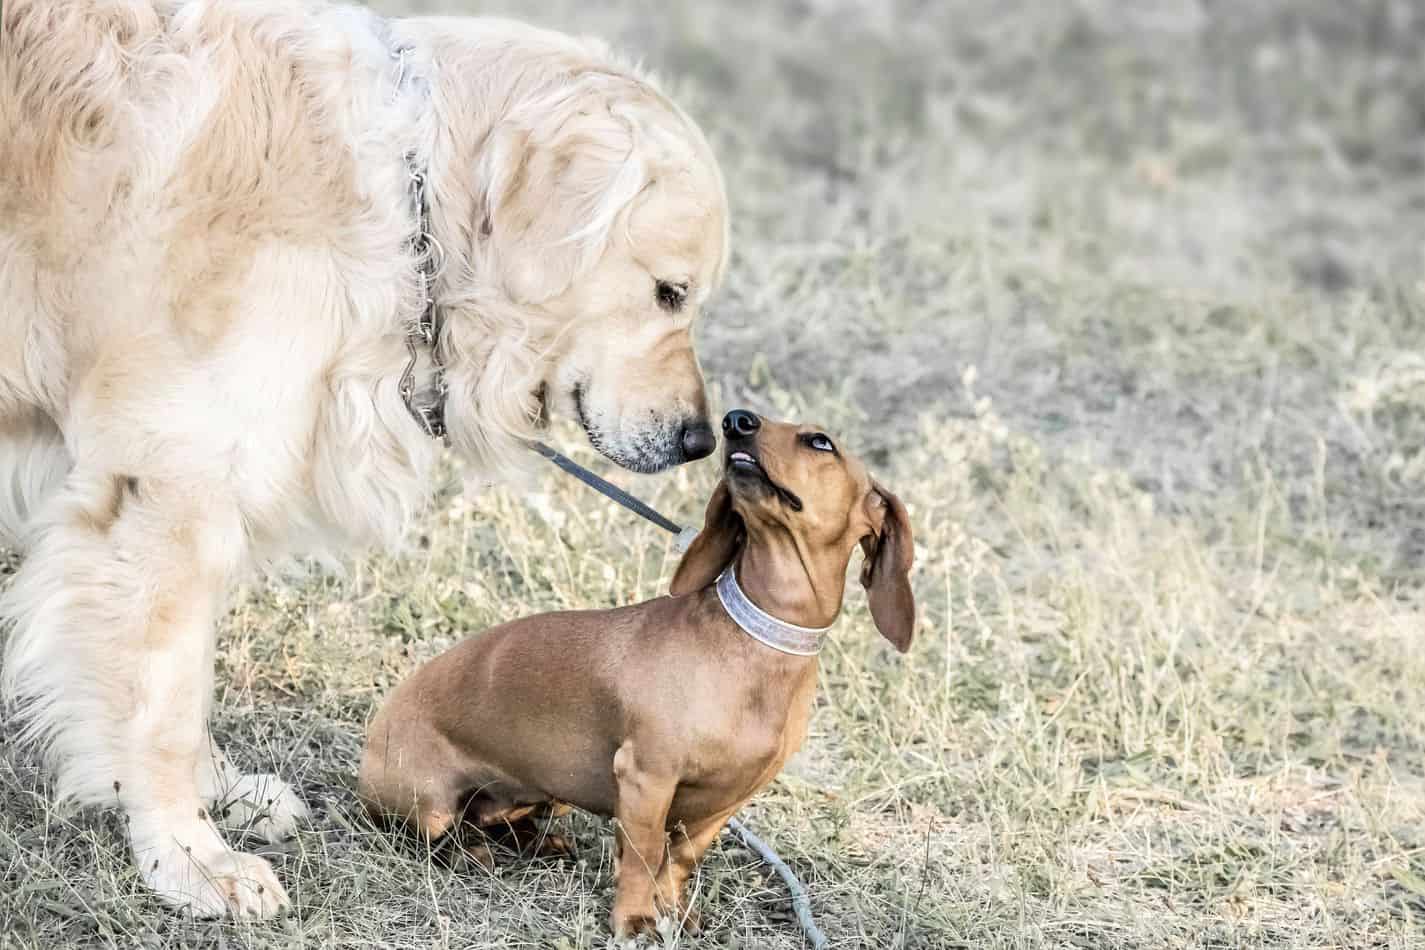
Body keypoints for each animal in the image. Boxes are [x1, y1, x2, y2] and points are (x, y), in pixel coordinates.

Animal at [0, 1, 729, 922]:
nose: (700, 440)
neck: (403, 200)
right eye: (669, 293)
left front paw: (218, 793)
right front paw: (188, 856)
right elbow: (160, 701)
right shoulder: (167, 489)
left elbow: (181, 683)